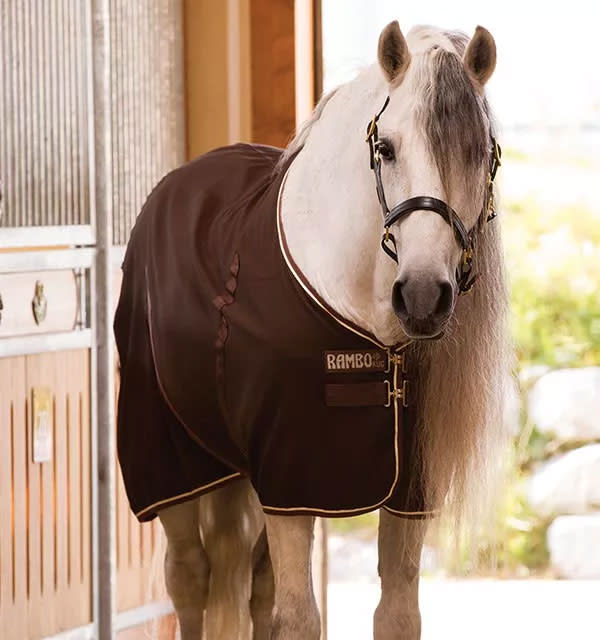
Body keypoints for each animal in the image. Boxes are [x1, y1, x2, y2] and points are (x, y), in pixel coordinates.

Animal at [113, 21, 506, 640]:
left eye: (480, 151)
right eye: (386, 147)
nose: (423, 295)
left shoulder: (399, 493)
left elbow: (395, 612)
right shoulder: (292, 489)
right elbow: (299, 618)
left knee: (249, 583)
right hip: (172, 462)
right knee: (190, 578)